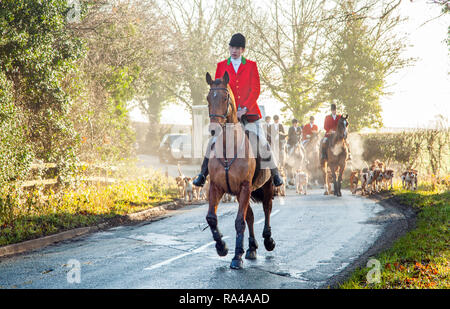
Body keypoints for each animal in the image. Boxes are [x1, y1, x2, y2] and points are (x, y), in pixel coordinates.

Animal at [206, 71, 276, 268]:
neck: (227, 149)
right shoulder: (217, 187)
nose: (213, 130)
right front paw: (221, 247)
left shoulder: (245, 187)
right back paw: (251, 248)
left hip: (266, 187)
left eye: (225, 98)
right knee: (250, 216)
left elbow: (239, 222)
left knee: (267, 208)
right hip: (241, 193)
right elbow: (212, 218)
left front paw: (237, 256)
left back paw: (268, 240)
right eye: (208, 98)